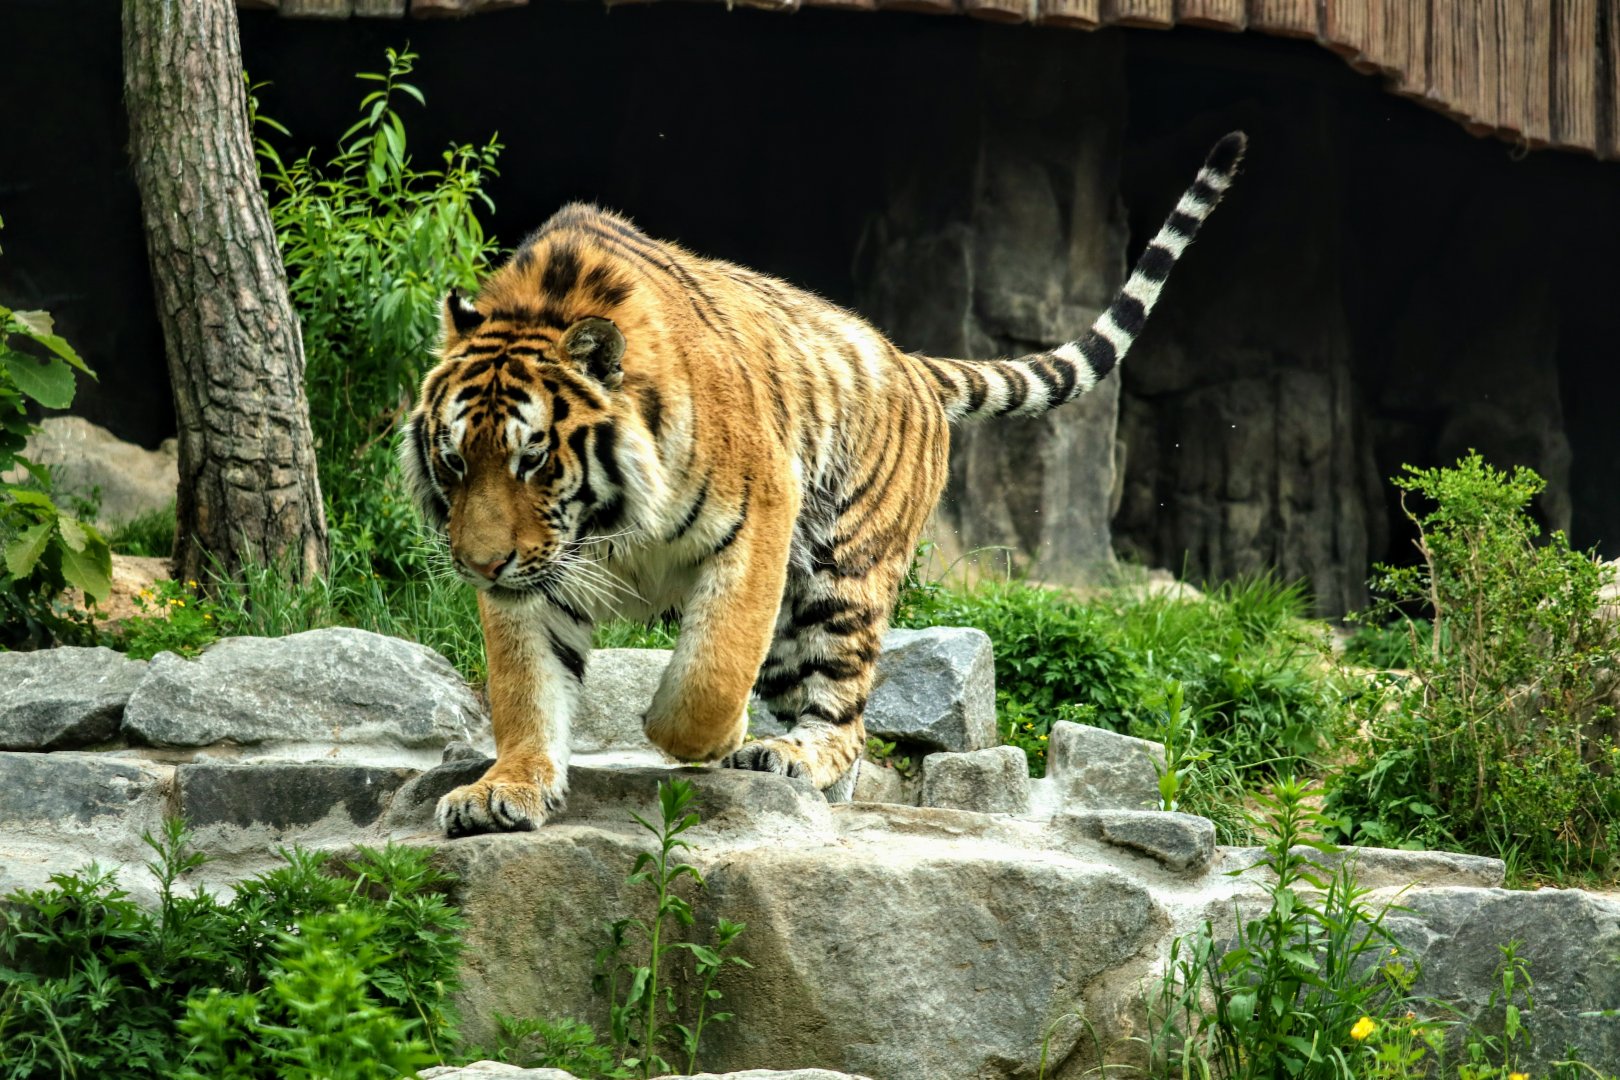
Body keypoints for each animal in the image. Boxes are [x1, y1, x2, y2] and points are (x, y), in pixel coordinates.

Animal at [401, 131, 1247, 837]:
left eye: (533, 460)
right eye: (455, 462)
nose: (478, 564)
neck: (604, 525)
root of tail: (908, 361)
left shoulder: (756, 519)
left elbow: (709, 674)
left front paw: (699, 734)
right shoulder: (533, 578)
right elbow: (524, 686)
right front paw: (505, 789)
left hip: (839, 577)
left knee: (846, 715)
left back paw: (793, 755)